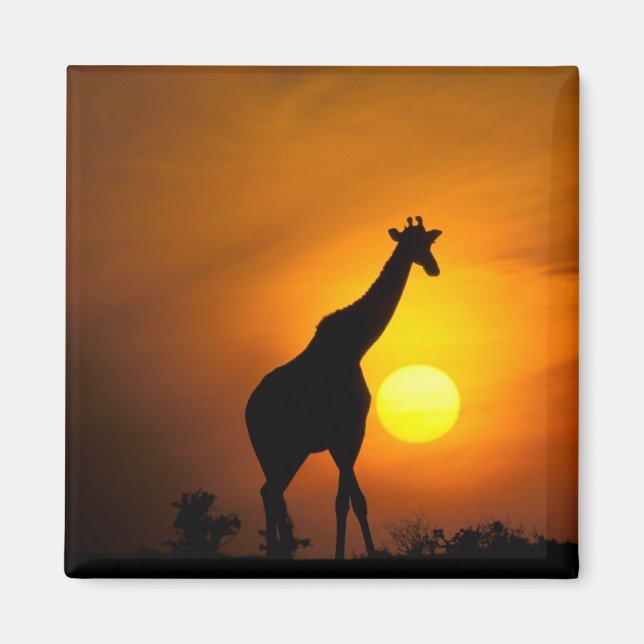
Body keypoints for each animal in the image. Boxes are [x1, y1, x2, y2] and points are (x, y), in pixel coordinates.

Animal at [245, 216, 442, 559]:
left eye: (428, 242)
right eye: (415, 243)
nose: (433, 268)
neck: (356, 345)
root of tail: (248, 411)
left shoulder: (344, 437)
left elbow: (344, 501)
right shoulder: (348, 432)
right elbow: (354, 501)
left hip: (280, 452)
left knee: (271, 492)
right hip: (281, 449)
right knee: (272, 492)